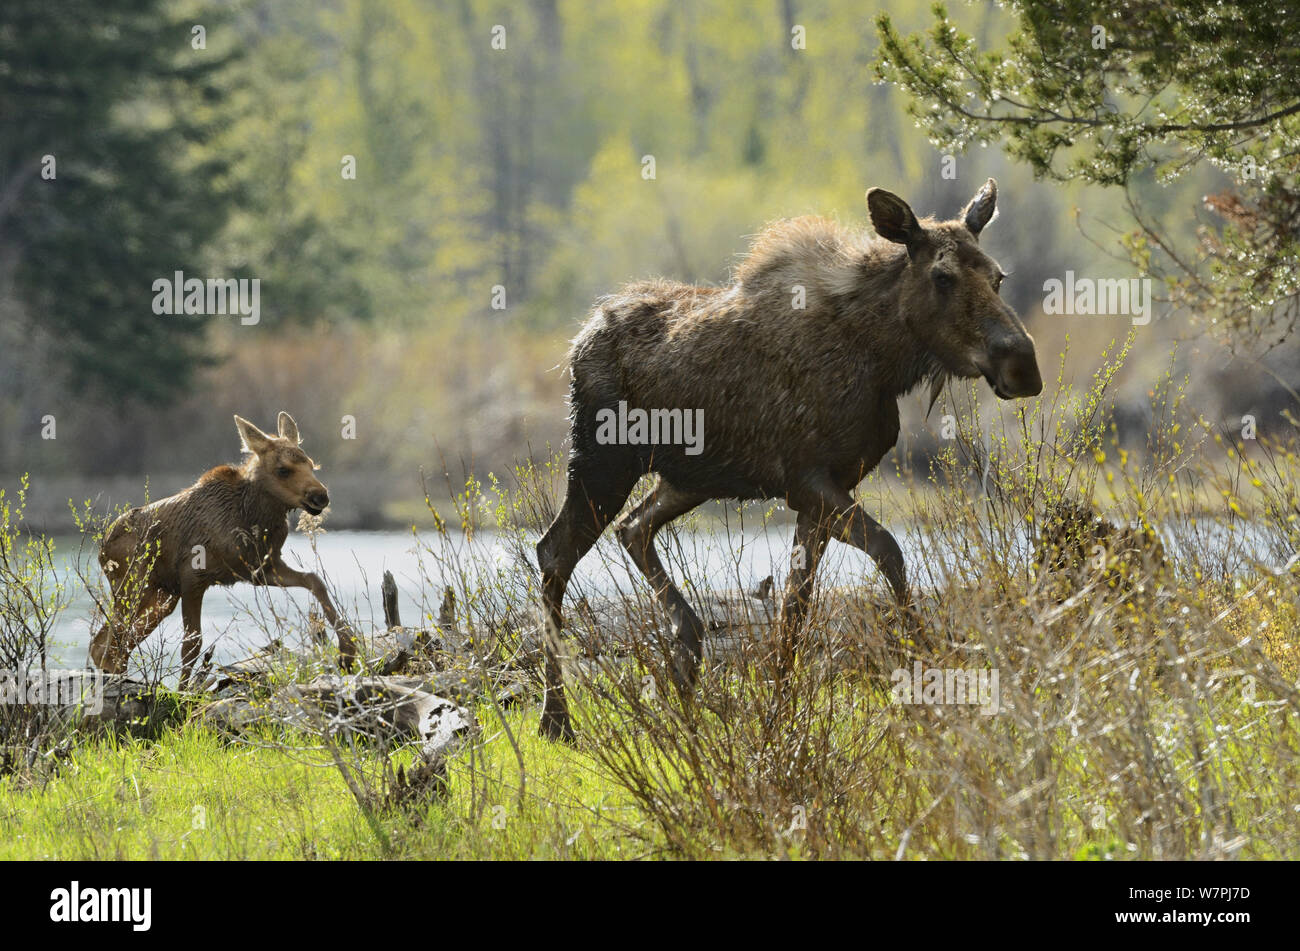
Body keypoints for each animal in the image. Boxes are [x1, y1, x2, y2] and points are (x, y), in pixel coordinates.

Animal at [89, 413, 358, 685]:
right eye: (283, 469)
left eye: (311, 464)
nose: (320, 496)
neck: (251, 516)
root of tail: (102, 547)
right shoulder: (193, 577)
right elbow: (192, 644)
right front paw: (183, 692)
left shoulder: (261, 569)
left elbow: (315, 580)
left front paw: (348, 651)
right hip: (134, 586)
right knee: (111, 640)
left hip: (161, 597)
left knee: (109, 642)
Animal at [533, 180, 1040, 743]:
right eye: (942, 275)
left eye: (998, 276)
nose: (1023, 364)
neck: (882, 359)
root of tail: (578, 342)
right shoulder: (807, 480)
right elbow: (889, 552)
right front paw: (925, 668)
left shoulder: (824, 489)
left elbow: (795, 608)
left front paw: (781, 708)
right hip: (602, 463)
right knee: (555, 552)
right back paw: (556, 718)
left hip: (688, 479)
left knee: (633, 528)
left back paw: (684, 665)